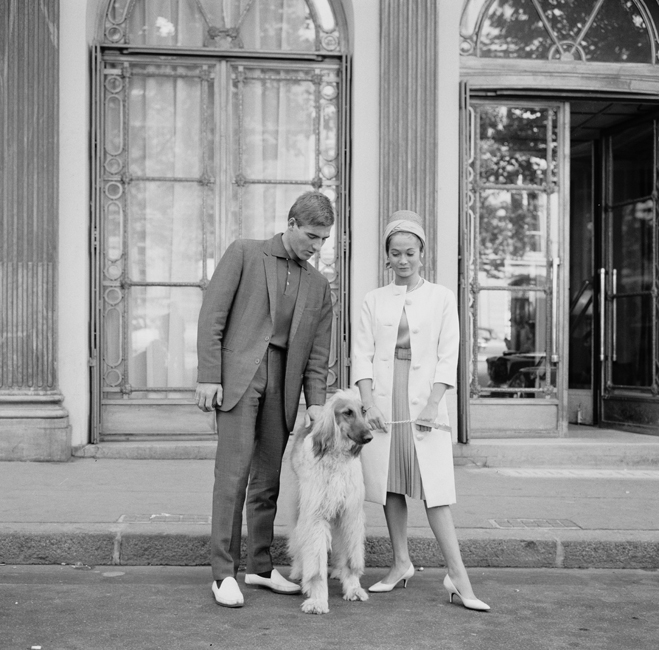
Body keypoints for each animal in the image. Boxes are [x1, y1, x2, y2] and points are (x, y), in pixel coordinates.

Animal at [288, 390, 374, 612]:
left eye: (363, 411)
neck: (337, 458)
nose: (369, 437)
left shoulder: (350, 512)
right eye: (347, 413)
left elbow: (351, 555)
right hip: (300, 502)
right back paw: (299, 569)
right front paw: (318, 599)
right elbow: (316, 561)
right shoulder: (315, 513)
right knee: (298, 537)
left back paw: (337, 570)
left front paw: (353, 587)